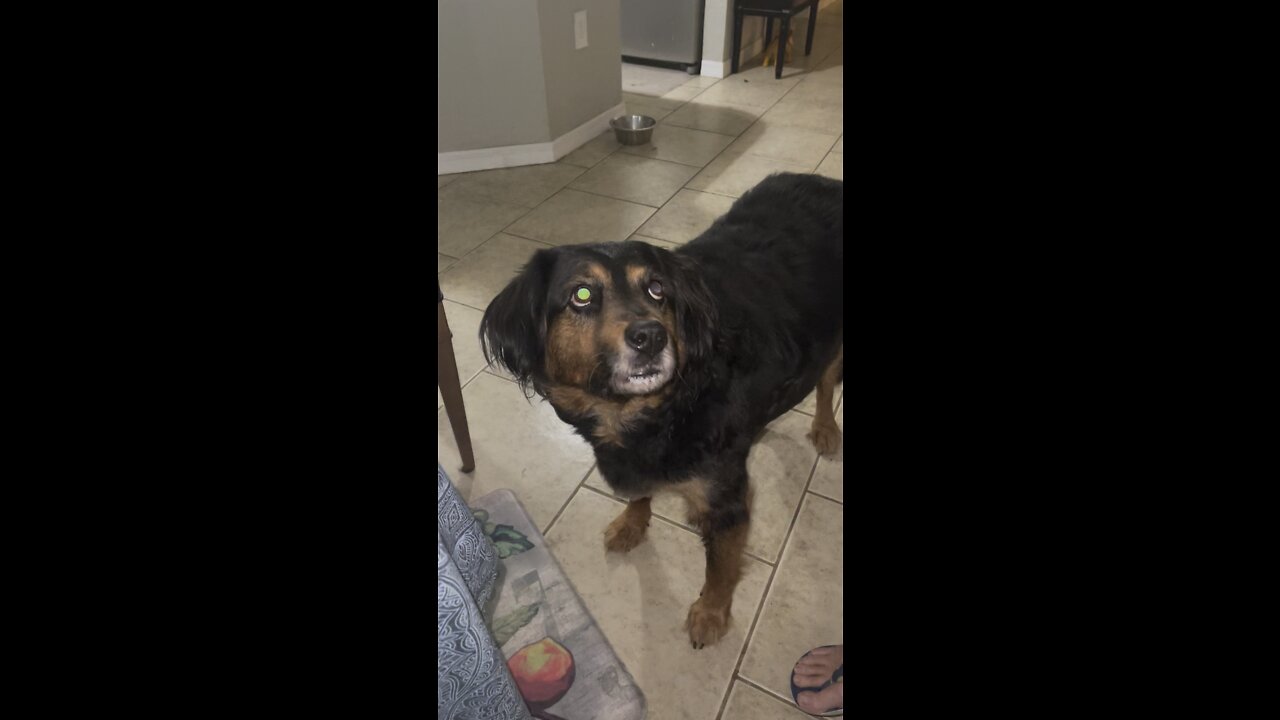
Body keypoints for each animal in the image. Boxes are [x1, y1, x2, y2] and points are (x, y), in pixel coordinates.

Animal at [481, 170, 839, 648]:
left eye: (657, 290)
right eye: (582, 294)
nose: (650, 337)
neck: (656, 413)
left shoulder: (727, 501)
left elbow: (720, 567)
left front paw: (710, 613)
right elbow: (639, 493)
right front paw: (633, 522)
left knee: (825, 382)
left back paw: (825, 428)